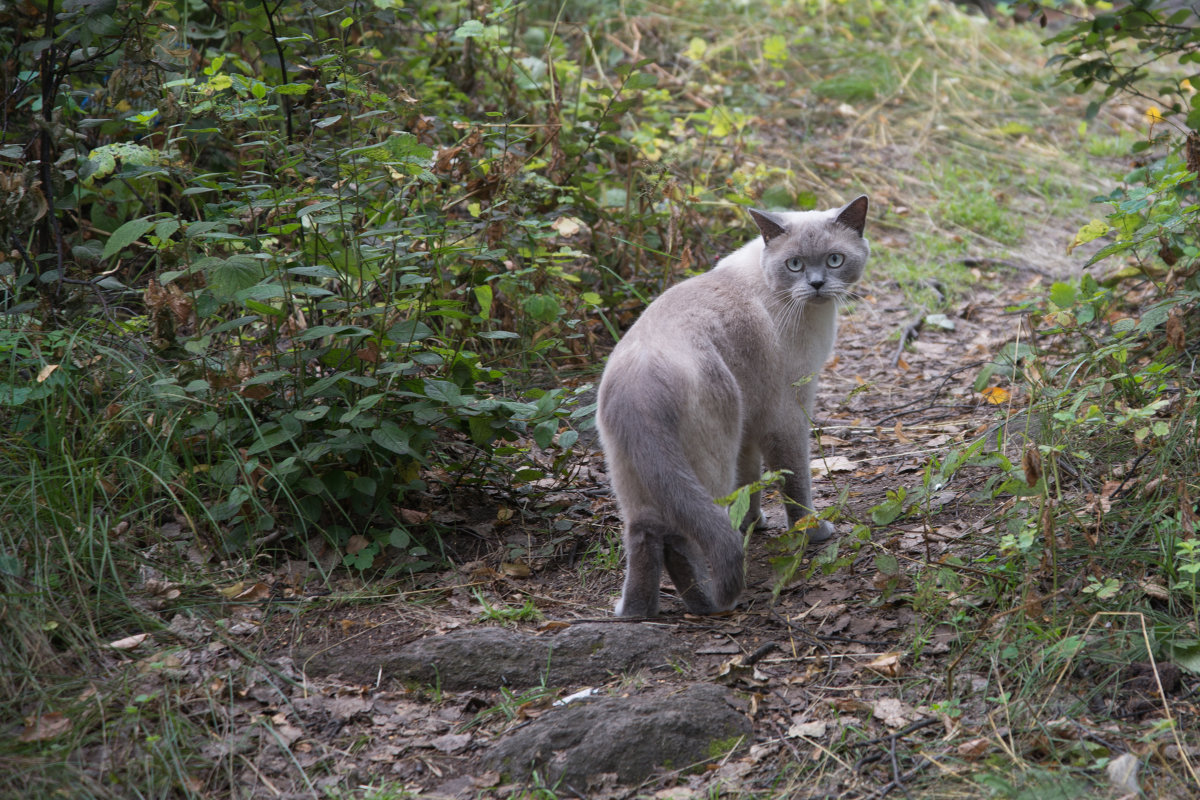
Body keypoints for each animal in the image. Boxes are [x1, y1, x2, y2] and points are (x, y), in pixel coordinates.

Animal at [595, 195, 868, 618]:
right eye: (794, 265)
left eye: (835, 260)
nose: (817, 284)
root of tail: (640, 382)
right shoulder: (787, 414)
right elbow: (795, 484)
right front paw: (814, 533)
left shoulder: (749, 426)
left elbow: (750, 484)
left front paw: (755, 524)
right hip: (710, 463)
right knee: (685, 537)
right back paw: (712, 603)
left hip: (637, 479)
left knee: (646, 535)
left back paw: (636, 612)